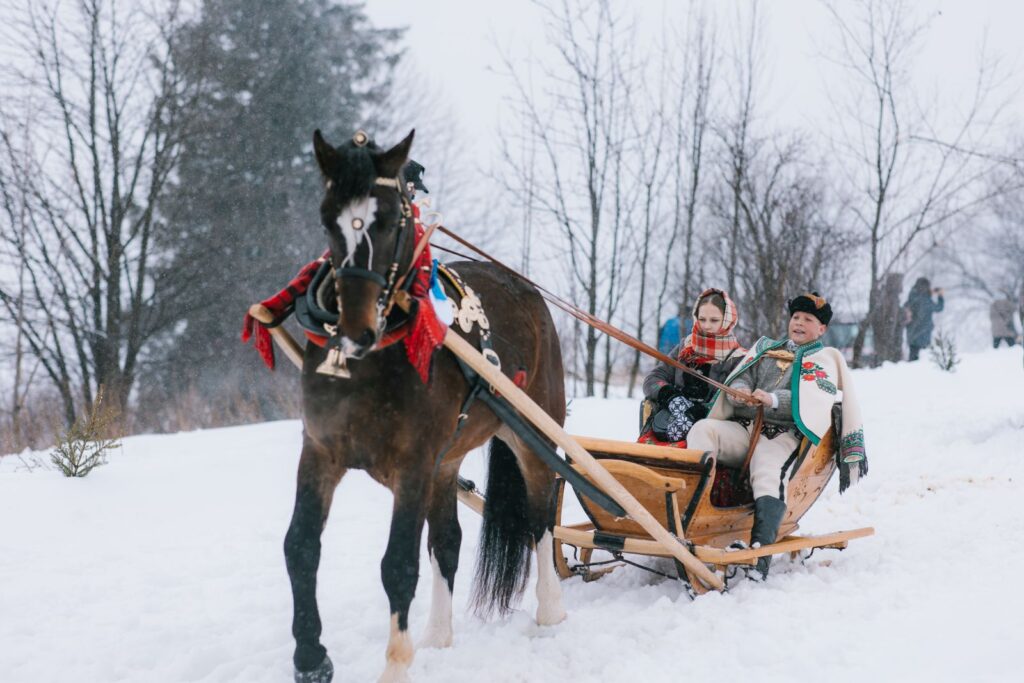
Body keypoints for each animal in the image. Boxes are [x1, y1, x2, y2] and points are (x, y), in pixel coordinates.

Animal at [283, 129, 568, 683]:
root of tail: (525, 290)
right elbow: (300, 546)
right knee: (449, 541)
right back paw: (438, 634)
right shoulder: (321, 451)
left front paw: (396, 663)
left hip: (533, 433)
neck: (371, 360)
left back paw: (549, 612)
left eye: (391, 219)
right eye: (327, 217)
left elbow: (398, 564)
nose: (354, 330)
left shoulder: (411, 465)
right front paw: (311, 658)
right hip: (448, 460)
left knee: (540, 520)